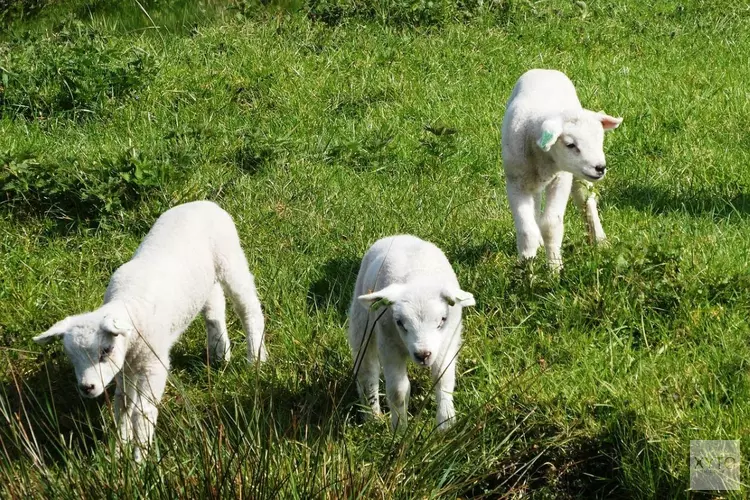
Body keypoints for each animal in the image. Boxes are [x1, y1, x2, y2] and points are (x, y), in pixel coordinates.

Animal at [33, 200, 268, 460]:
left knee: (249, 309)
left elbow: (143, 413)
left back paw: (256, 359)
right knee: (214, 307)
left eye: (106, 350)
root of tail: (203, 202)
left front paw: (139, 460)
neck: (129, 303)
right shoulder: (126, 367)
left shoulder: (153, 364)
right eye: (71, 358)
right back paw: (219, 354)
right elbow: (123, 404)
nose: (87, 388)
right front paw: (118, 452)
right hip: (205, 279)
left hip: (230, 258)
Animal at [348, 236, 476, 432]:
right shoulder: (389, 343)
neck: (419, 278)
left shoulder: (447, 341)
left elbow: (443, 379)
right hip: (362, 323)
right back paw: (372, 416)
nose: (423, 355)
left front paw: (446, 424)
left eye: (443, 320)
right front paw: (399, 429)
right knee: (366, 371)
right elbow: (398, 391)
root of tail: (400, 235)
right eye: (400, 322)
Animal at [502, 68, 624, 270]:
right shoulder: (515, 181)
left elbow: (551, 224)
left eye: (601, 139)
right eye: (570, 144)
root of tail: (545, 69)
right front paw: (526, 266)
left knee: (586, 201)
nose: (600, 168)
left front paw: (554, 268)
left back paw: (600, 240)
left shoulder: (561, 179)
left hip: (577, 176)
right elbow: (526, 229)